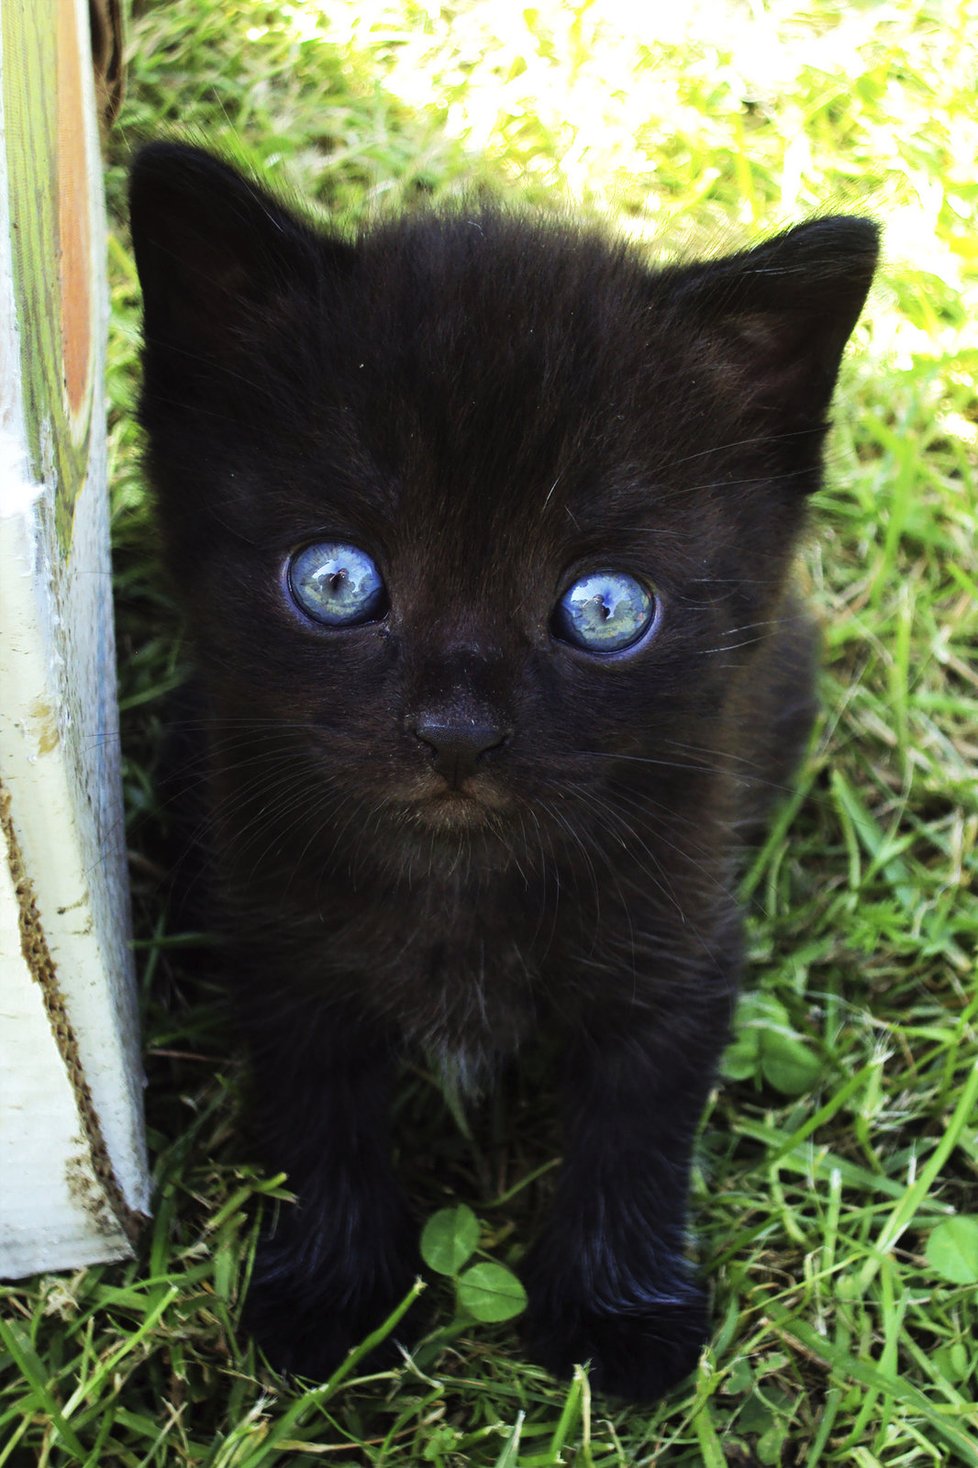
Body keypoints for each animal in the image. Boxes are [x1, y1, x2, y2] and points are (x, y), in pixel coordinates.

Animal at [129, 146, 875, 1397]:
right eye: (336, 580)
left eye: (607, 607)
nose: (457, 733)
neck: (460, 884)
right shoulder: (286, 943)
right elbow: (314, 1115)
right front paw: (333, 1292)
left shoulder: (684, 943)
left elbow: (639, 1130)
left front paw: (620, 1313)